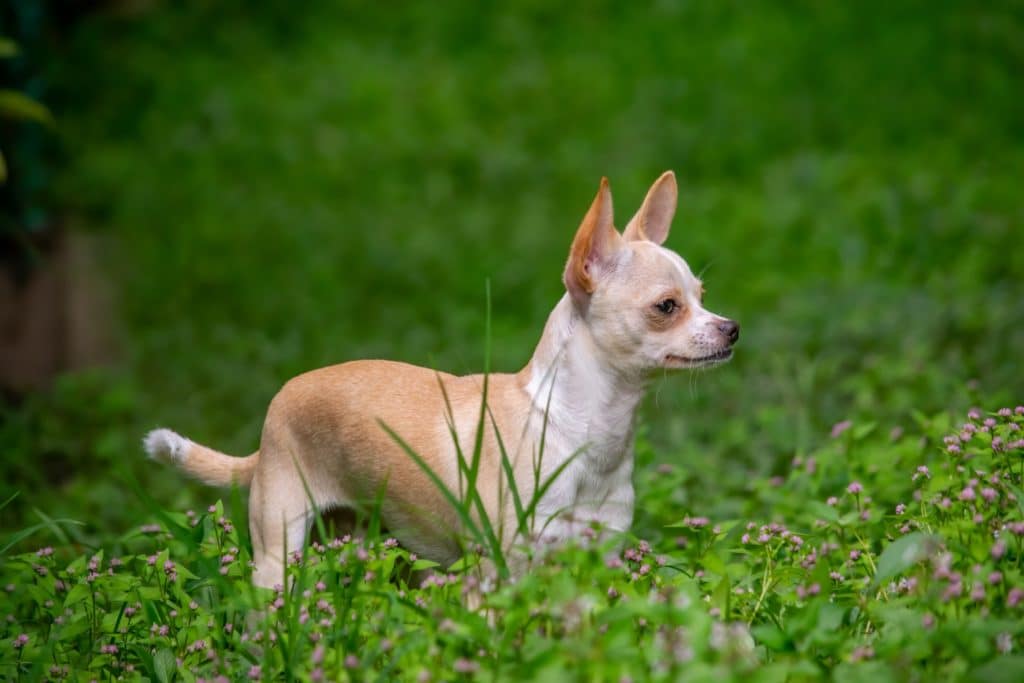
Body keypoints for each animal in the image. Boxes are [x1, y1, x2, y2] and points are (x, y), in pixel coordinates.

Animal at [144, 172, 737, 593]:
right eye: (668, 306)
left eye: (703, 295)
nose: (731, 328)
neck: (585, 429)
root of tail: (275, 412)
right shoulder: (502, 573)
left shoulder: (593, 561)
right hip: (279, 554)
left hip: (364, 542)